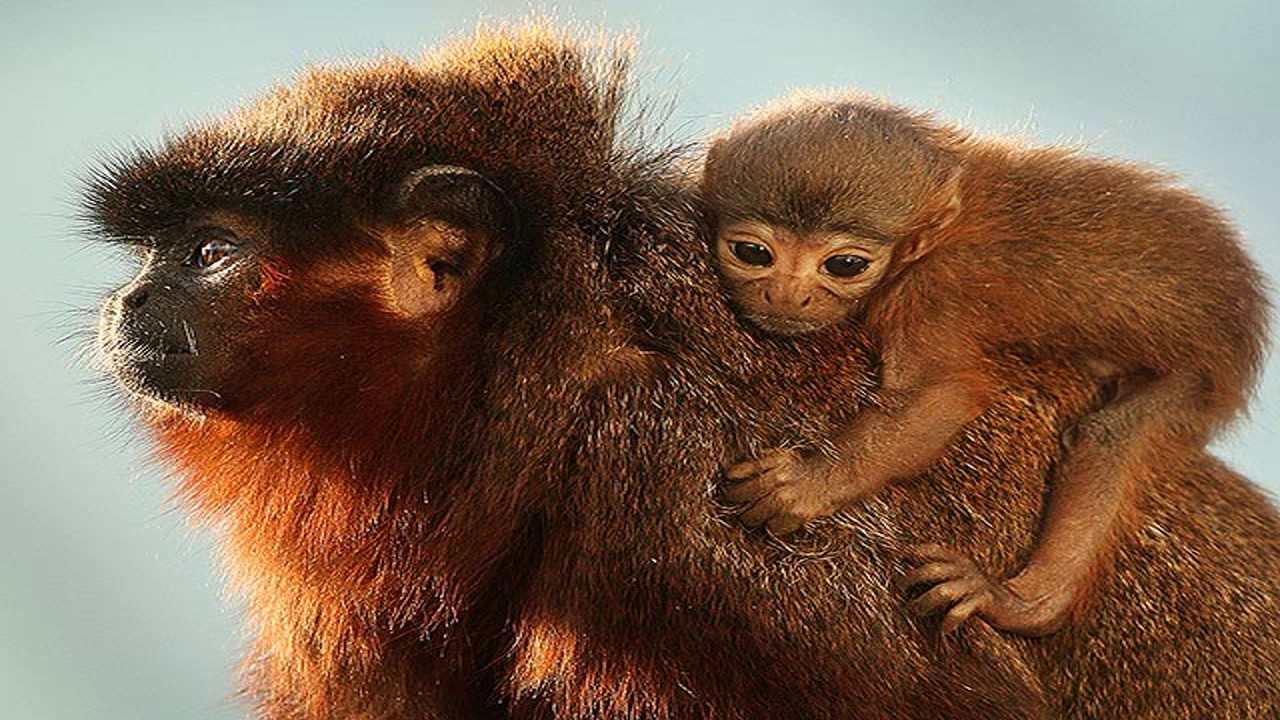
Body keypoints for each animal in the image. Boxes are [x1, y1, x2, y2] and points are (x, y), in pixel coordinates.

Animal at [702, 92, 1271, 637]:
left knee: (1106, 437)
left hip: (1199, 379)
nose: (786, 295)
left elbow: (941, 397)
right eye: (754, 253)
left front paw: (809, 484)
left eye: (844, 265)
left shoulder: (930, 292)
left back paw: (1025, 605)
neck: (938, 232)